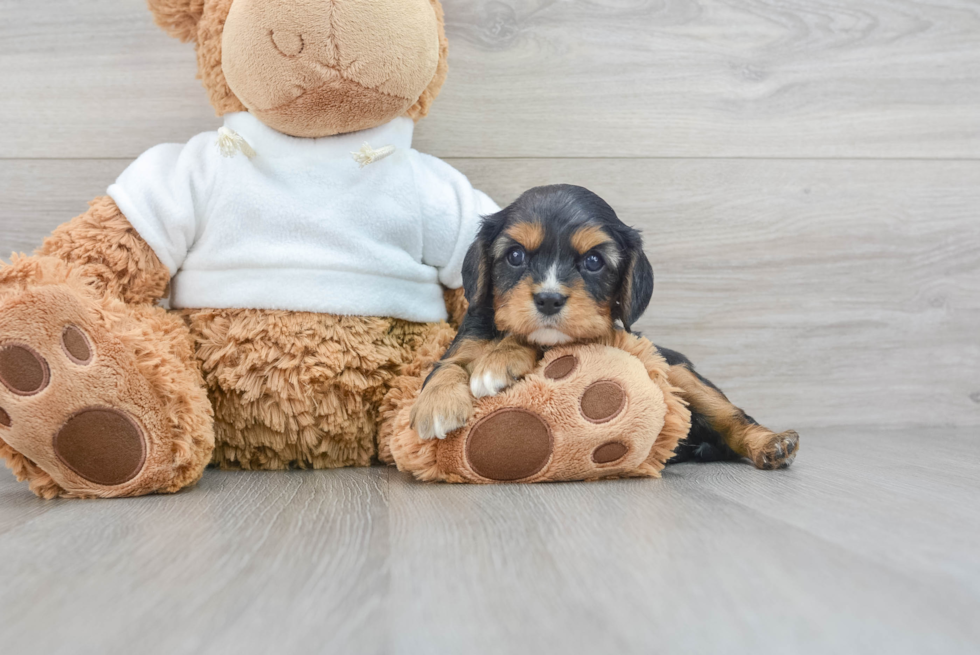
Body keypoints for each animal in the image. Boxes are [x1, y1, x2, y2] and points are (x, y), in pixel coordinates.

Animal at [410, 184, 800, 472]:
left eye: (594, 261)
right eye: (515, 256)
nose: (549, 299)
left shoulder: (600, 335)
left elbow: (538, 341)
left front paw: (499, 360)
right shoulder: (468, 338)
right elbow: (445, 366)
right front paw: (437, 405)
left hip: (680, 372)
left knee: (733, 418)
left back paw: (772, 443)